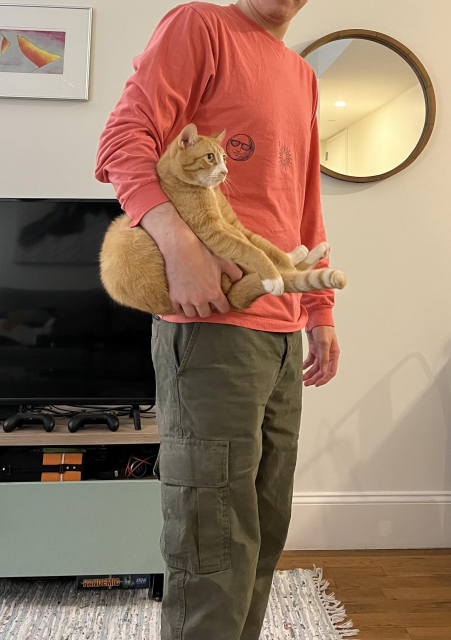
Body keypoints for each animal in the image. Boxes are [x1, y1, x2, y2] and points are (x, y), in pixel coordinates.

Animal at [100, 123, 346, 316]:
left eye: (225, 157)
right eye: (210, 158)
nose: (225, 172)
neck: (209, 191)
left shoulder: (235, 225)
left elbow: (268, 249)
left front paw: (283, 264)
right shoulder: (214, 232)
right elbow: (253, 251)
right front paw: (275, 278)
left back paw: (308, 253)